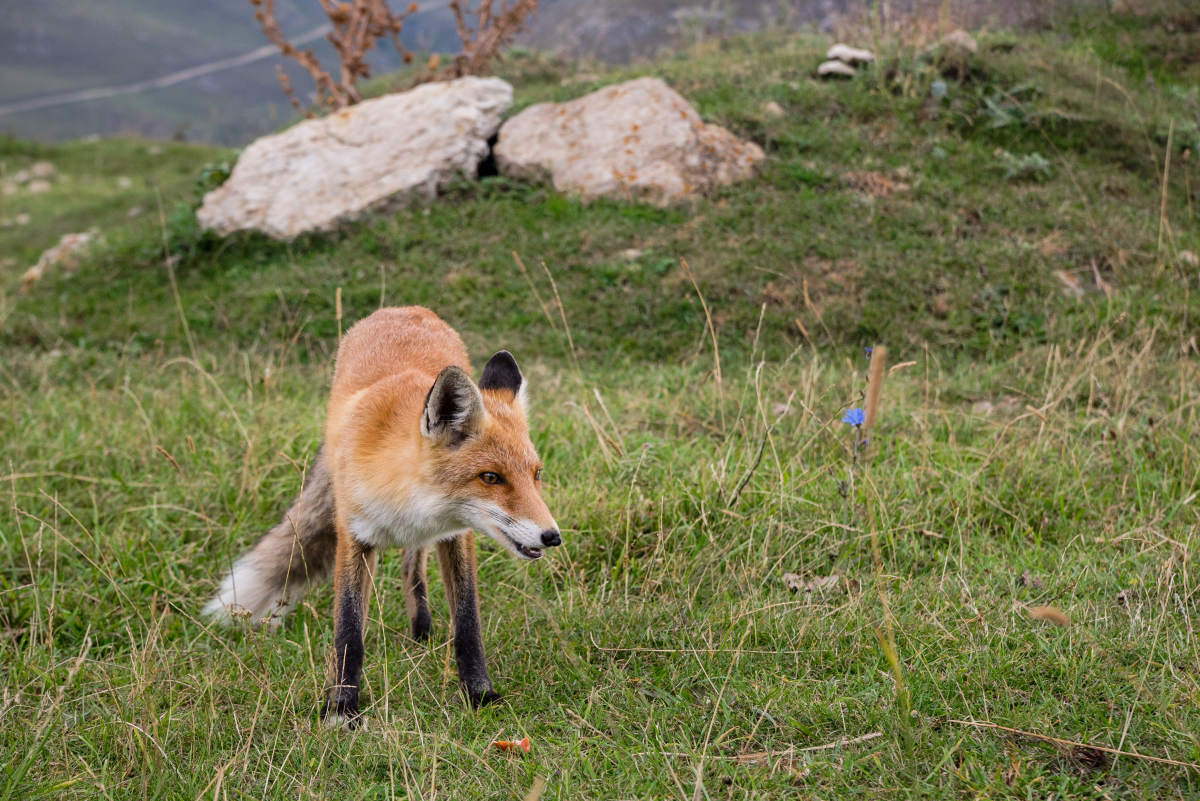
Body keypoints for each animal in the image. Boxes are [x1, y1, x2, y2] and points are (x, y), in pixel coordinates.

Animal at [204, 306, 559, 724]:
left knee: (413, 570)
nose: (552, 536)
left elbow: (468, 625)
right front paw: (341, 709)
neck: (409, 505)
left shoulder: (457, 536)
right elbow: (348, 634)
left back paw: (422, 633)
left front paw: (479, 695)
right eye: (491, 477)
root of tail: (406, 309)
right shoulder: (352, 537)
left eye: (536, 475)